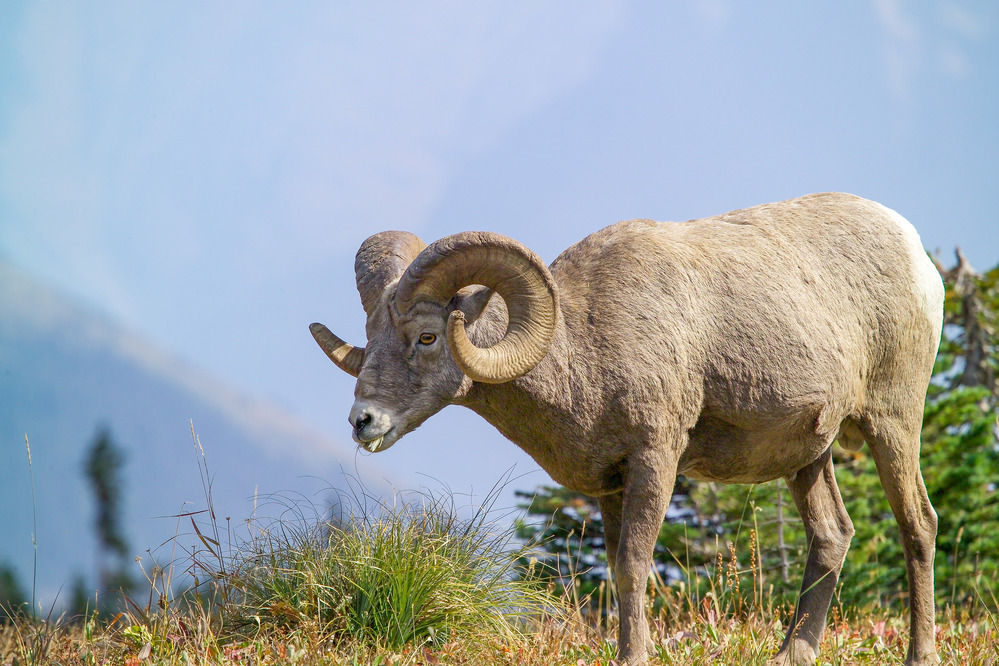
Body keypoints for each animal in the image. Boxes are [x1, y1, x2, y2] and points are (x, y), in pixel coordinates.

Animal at [310, 192, 943, 665]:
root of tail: (915, 251)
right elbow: (617, 569)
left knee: (918, 525)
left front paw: (634, 657)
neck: (582, 351)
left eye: (426, 336)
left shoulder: (654, 460)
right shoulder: (611, 483)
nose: (363, 421)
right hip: (810, 455)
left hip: (892, 424)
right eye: (371, 333)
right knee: (833, 535)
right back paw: (792, 654)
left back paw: (921, 655)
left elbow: (634, 566)